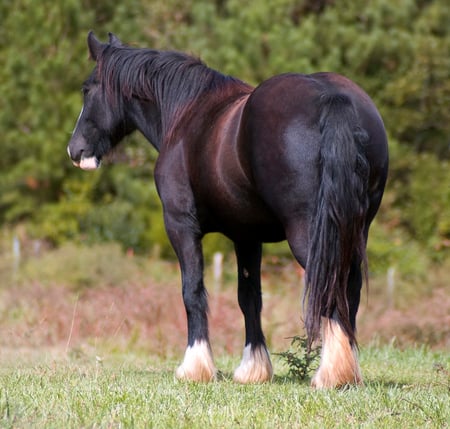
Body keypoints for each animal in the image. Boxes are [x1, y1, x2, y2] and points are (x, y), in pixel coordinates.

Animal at [67, 32, 386, 388]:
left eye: (87, 88)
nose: (76, 150)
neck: (186, 114)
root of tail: (330, 97)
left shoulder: (180, 225)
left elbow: (192, 291)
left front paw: (195, 367)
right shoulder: (246, 237)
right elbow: (249, 297)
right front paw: (253, 368)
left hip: (310, 233)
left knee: (332, 284)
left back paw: (332, 373)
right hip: (353, 230)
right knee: (350, 287)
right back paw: (348, 368)